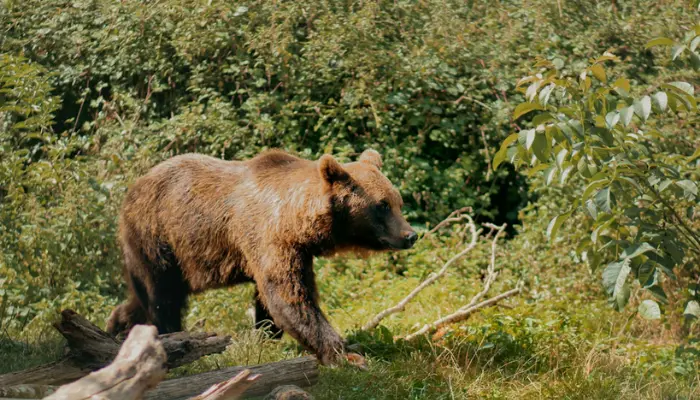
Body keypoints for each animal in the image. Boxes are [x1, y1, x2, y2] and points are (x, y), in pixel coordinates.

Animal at [106, 148, 417, 365]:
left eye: (398, 202)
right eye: (382, 205)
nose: (410, 235)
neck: (296, 220)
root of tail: (132, 188)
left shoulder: (296, 252)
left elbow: (276, 298)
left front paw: (267, 337)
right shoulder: (267, 237)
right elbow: (289, 298)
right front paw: (344, 354)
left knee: (143, 297)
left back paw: (117, 326)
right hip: (156, 238)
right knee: (162, 296)